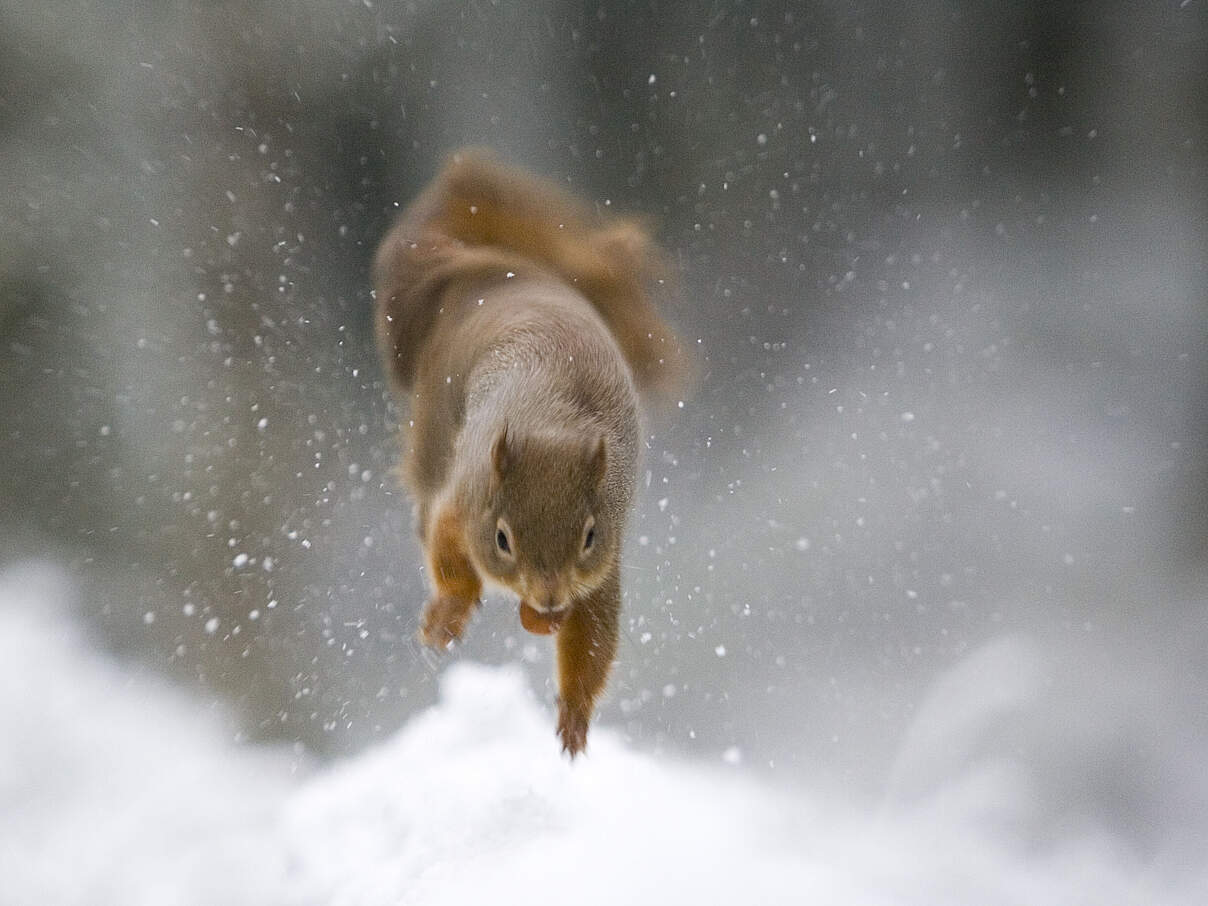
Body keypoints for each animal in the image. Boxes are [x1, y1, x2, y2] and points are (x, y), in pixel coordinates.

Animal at [373, 149, 685, 757]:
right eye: (501, 538)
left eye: (589, 536)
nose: (548, 596)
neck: (551, 425)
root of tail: (480, 266)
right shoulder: (463, 499)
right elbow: (449, 555)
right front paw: (451, 612)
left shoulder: (603, 565)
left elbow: (594, 638)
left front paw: (574, 718)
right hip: (433, 433)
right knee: (423, 507)